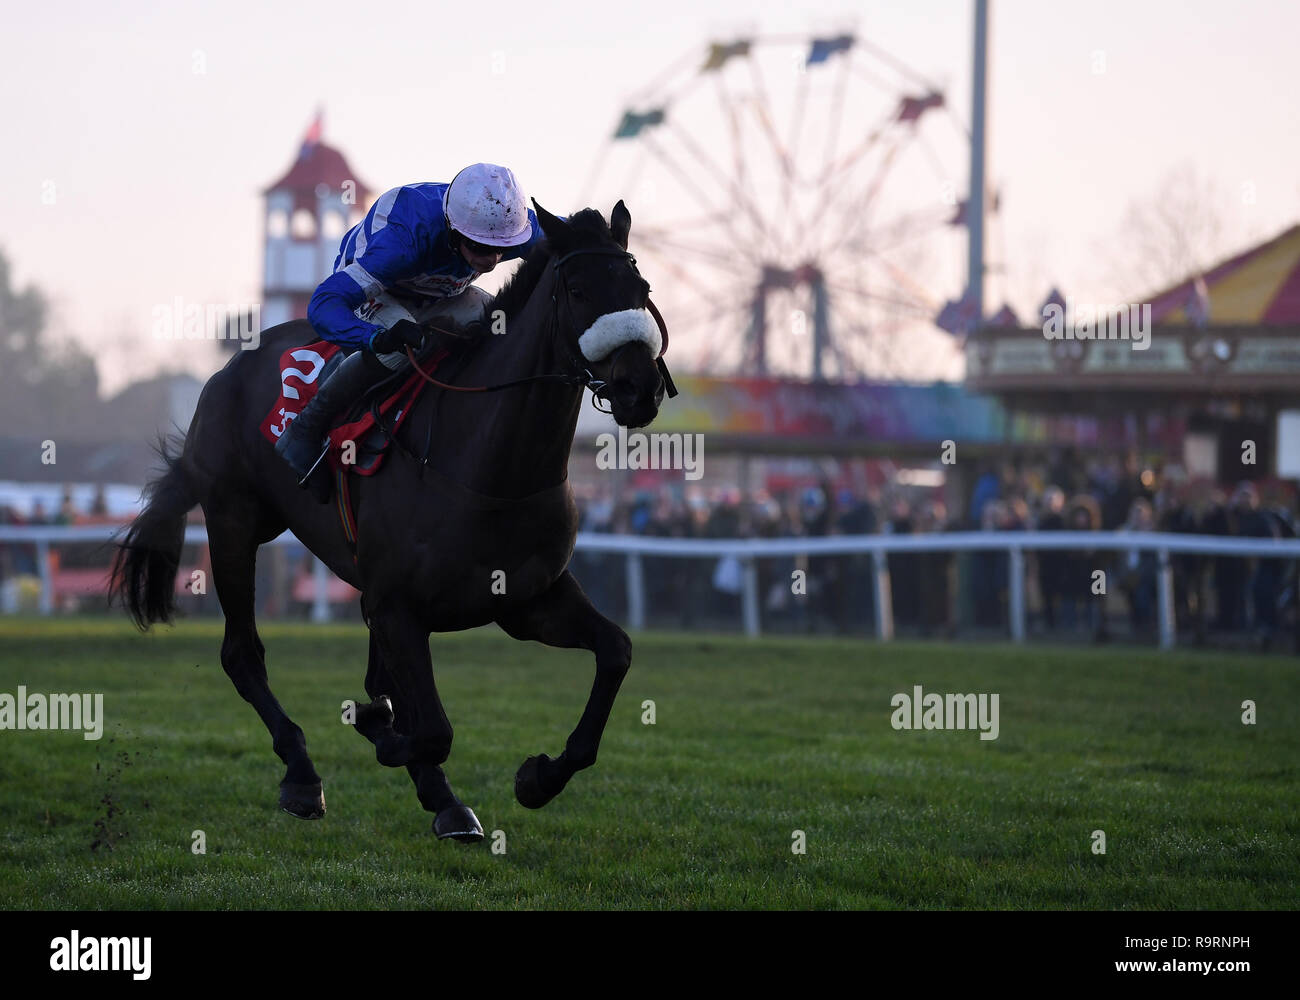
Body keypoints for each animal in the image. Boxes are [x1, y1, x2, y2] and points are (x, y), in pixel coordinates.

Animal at [106, 202, 665, 842]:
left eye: (642, 289)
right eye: (577, 290)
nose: (640, 386)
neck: (492, 471)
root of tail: (231, 367)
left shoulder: (528, 600)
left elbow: (616, 651)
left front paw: (538, 778)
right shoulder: (398, 606)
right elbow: (429, 729)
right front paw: (382, 733)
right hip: (232, 524)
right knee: (242, 655)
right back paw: (303, 775)